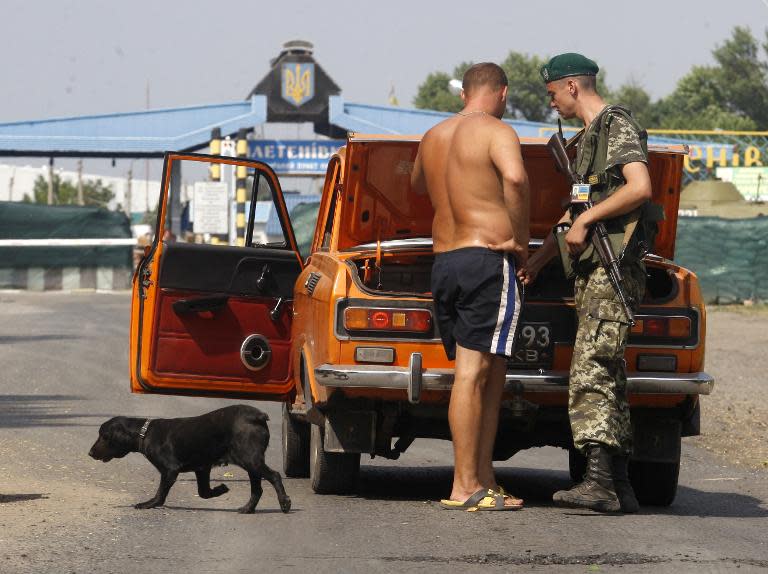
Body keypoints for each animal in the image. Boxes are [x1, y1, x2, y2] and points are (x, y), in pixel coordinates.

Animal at [88, 404, 292, 516]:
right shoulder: (202, 469)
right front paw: (221, 489)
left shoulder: (170, 471)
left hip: (250, 459)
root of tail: (258, 416)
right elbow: (204, 493)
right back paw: (247, 508)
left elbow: (161, 494)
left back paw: (284, 503)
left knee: (274, 476)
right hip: (250, 462)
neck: (144, 433)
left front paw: (148, 504)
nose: (90, 453)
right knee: (257, 489)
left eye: (103, 436)